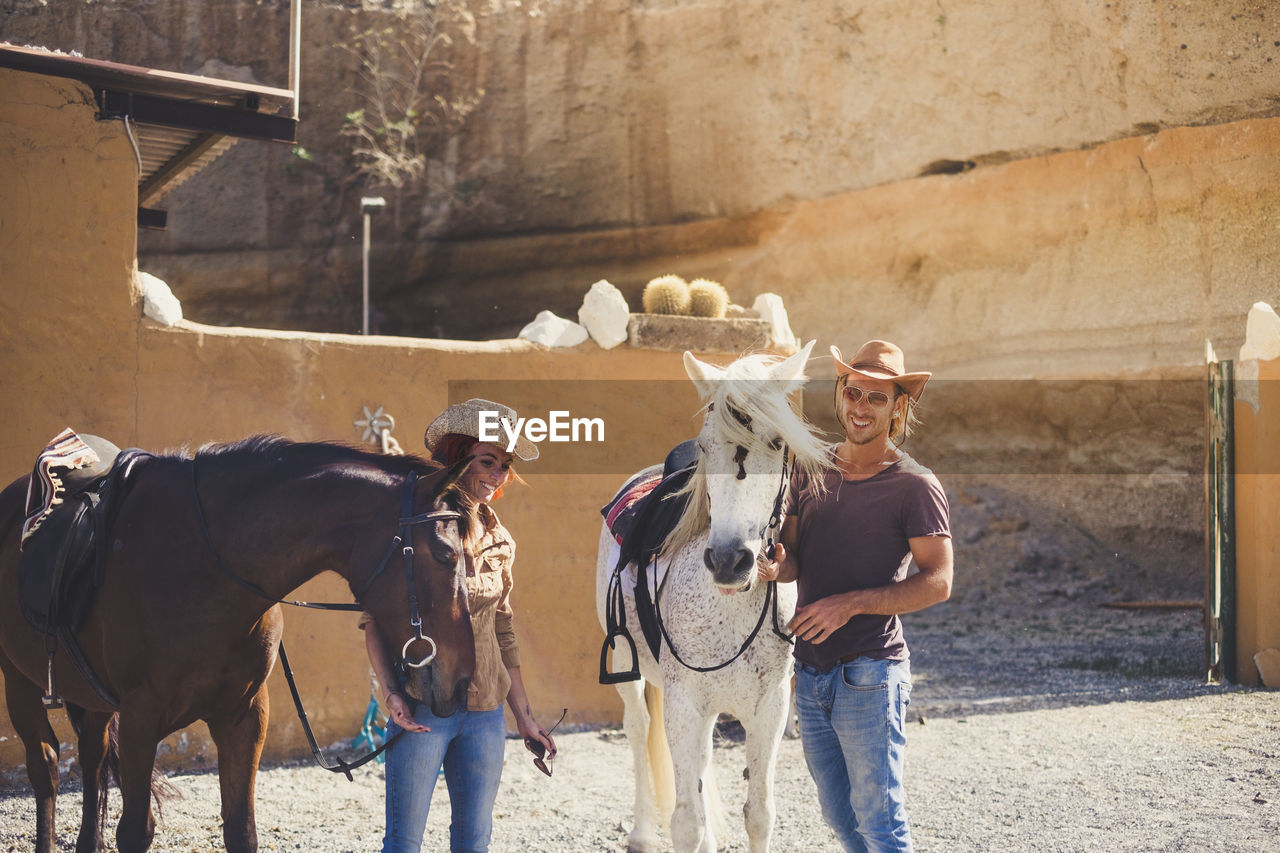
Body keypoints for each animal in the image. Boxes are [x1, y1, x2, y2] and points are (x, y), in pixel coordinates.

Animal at [0, 435, 481, 845]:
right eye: (446, 554)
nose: (463, 681)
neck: (202, 565)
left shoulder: (245, 716)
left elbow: (240, 829)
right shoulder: (140, 718)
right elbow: (135, 831)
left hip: (93, 699)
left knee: (93, 759)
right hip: (19, 681)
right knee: (46, 768)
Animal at [596, 340, 834, 850]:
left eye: (778, 443)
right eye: (705, 446)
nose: (729, 560)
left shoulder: (768, 710)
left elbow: (759, 813)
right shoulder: (685, 706)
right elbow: (685, 820)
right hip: (631, 672)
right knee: (638, 731)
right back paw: (641, 833)